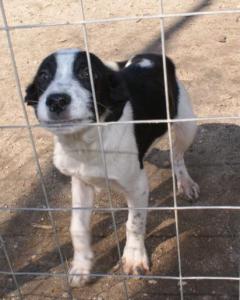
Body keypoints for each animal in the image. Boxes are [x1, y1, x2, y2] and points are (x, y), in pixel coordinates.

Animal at [24, 48, 199, 286]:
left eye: (88, 74)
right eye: (43, 76)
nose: (56, 100)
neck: (87, 141)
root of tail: (150, 55)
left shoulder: (138, 187)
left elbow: (134, 223)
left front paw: (134, 258)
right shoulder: (80, 182)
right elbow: (77, 227)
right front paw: (81, 266)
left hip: (186, 124)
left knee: (177, 155)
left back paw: (185, 182)